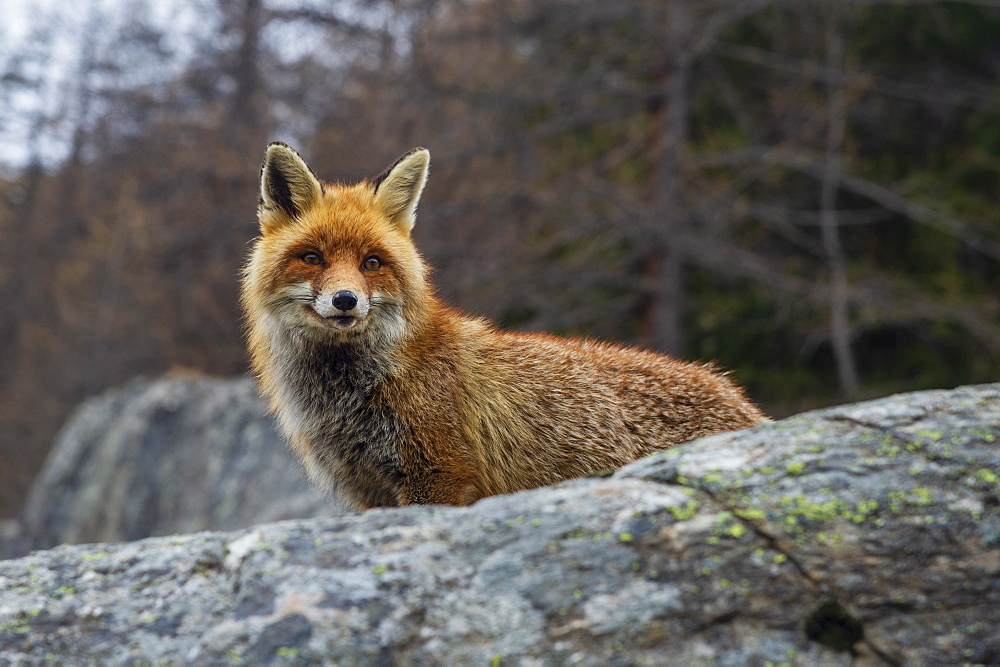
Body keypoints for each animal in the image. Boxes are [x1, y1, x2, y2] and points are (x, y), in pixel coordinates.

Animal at [240, 142, 764, 512]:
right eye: (313, 258)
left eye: (372, 263)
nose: (345, 300)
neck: (352, 393)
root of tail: (741, 400)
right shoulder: (370, 493)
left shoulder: (439, 475)